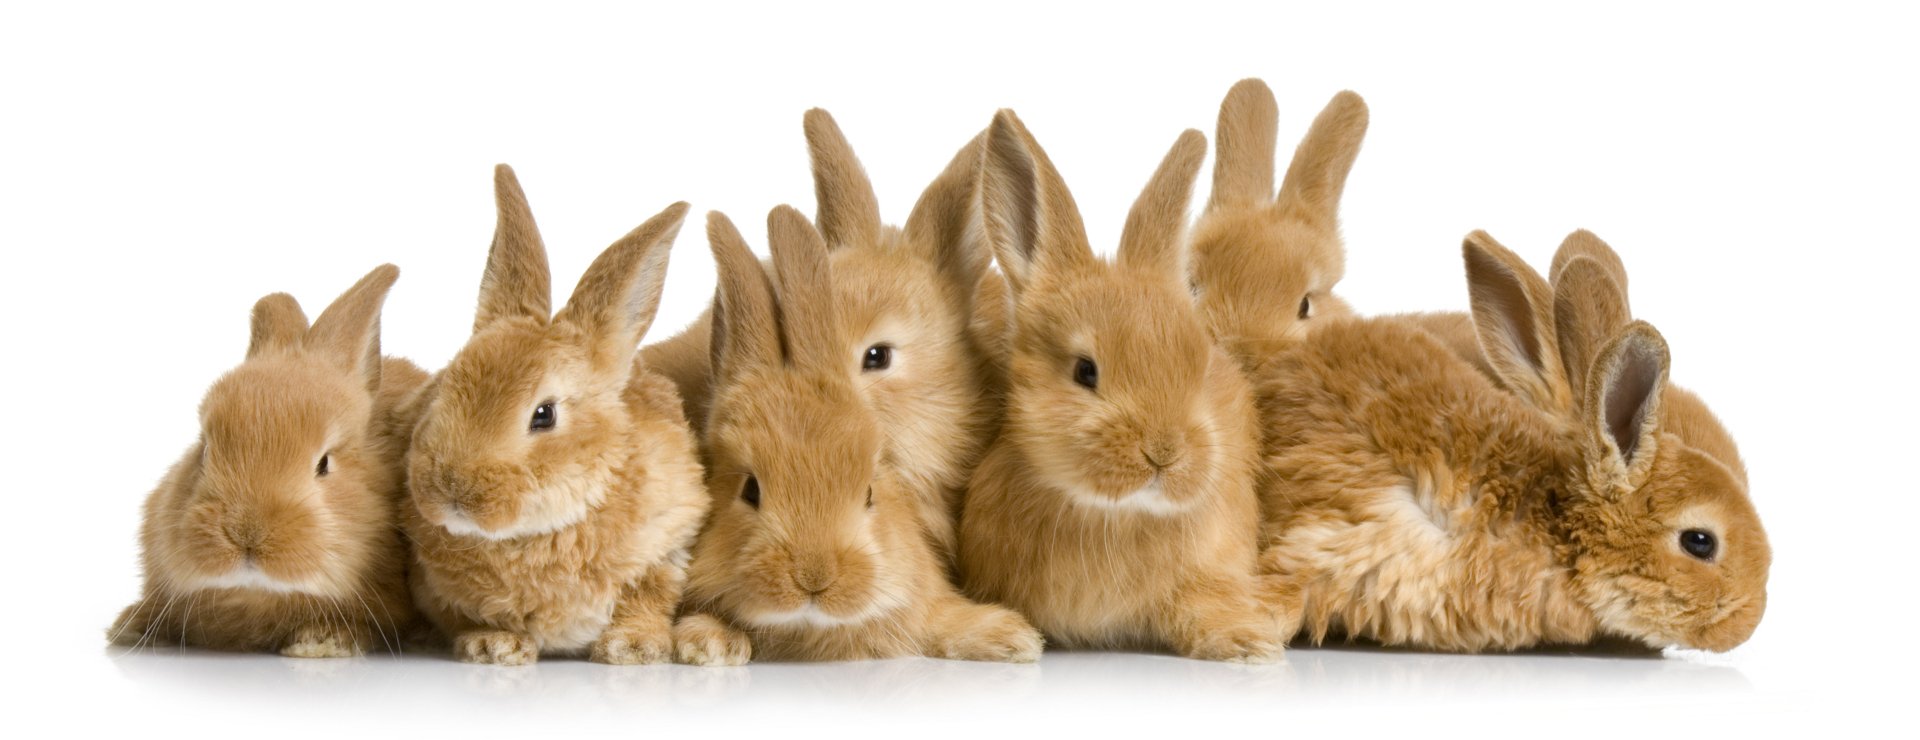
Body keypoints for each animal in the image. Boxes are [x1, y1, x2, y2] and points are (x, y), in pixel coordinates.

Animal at [400, 165, 708, 666]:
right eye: (444, 388)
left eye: (543, 415)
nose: (452, 490)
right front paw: (493, 646)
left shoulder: (668, 544)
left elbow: (647, 597)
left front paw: (634, 647)